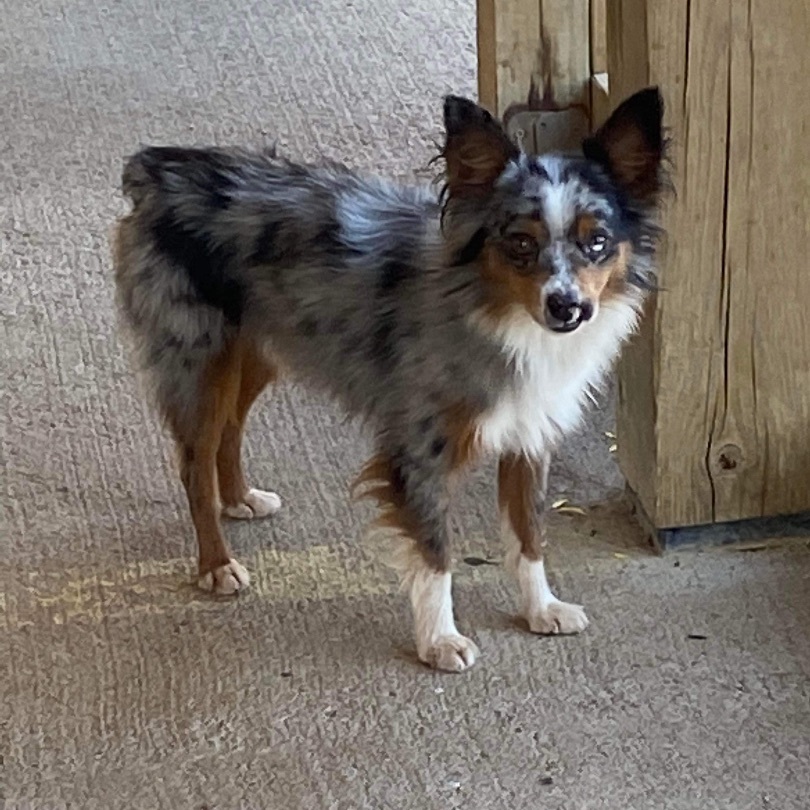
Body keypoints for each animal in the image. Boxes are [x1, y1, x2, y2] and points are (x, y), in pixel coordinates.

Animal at [112, 88, 664, 668]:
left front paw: (541, 609)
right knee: (194, 463)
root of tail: (161, 169)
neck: (496, 314)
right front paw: (439, 640)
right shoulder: (421, 451)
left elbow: (529, 535)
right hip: (199, 360)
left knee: (231, 429)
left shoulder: (529, 438)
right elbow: (436, 554)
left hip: (258, 350)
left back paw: (240, 498)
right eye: (519, 243)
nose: (567, 306)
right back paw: (216, 564)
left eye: (597, 241)